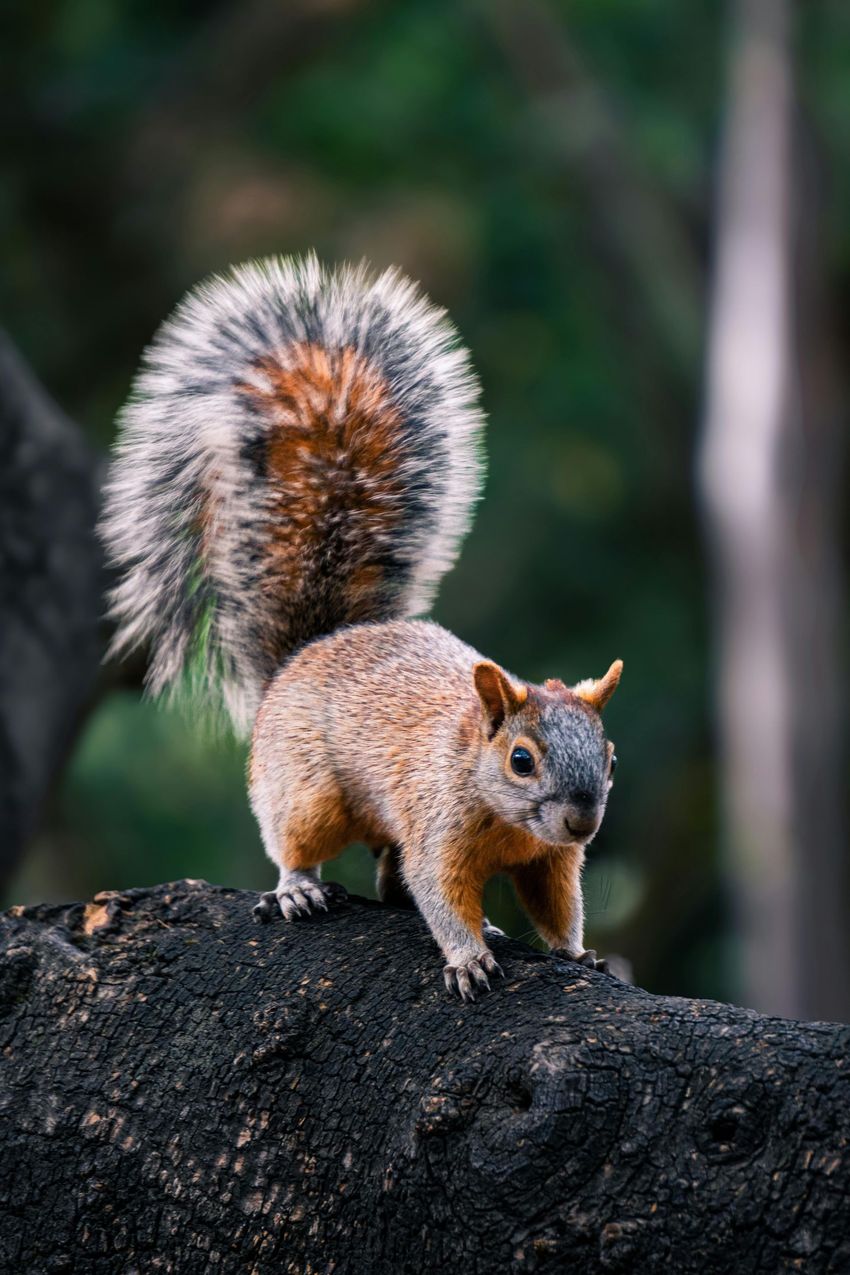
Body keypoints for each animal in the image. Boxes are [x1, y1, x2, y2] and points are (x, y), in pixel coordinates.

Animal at [101, 253, 622, 1001]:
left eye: (609, 755)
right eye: (521, 760)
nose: (583, 821)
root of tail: (304, 654)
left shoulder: (548, 859)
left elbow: (556, 905)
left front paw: (580, 953)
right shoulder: (437, 829)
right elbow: (440, 892)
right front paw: (467, 956)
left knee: (389, 871)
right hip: (308, 787)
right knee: (301, 841)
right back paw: (298, 888)